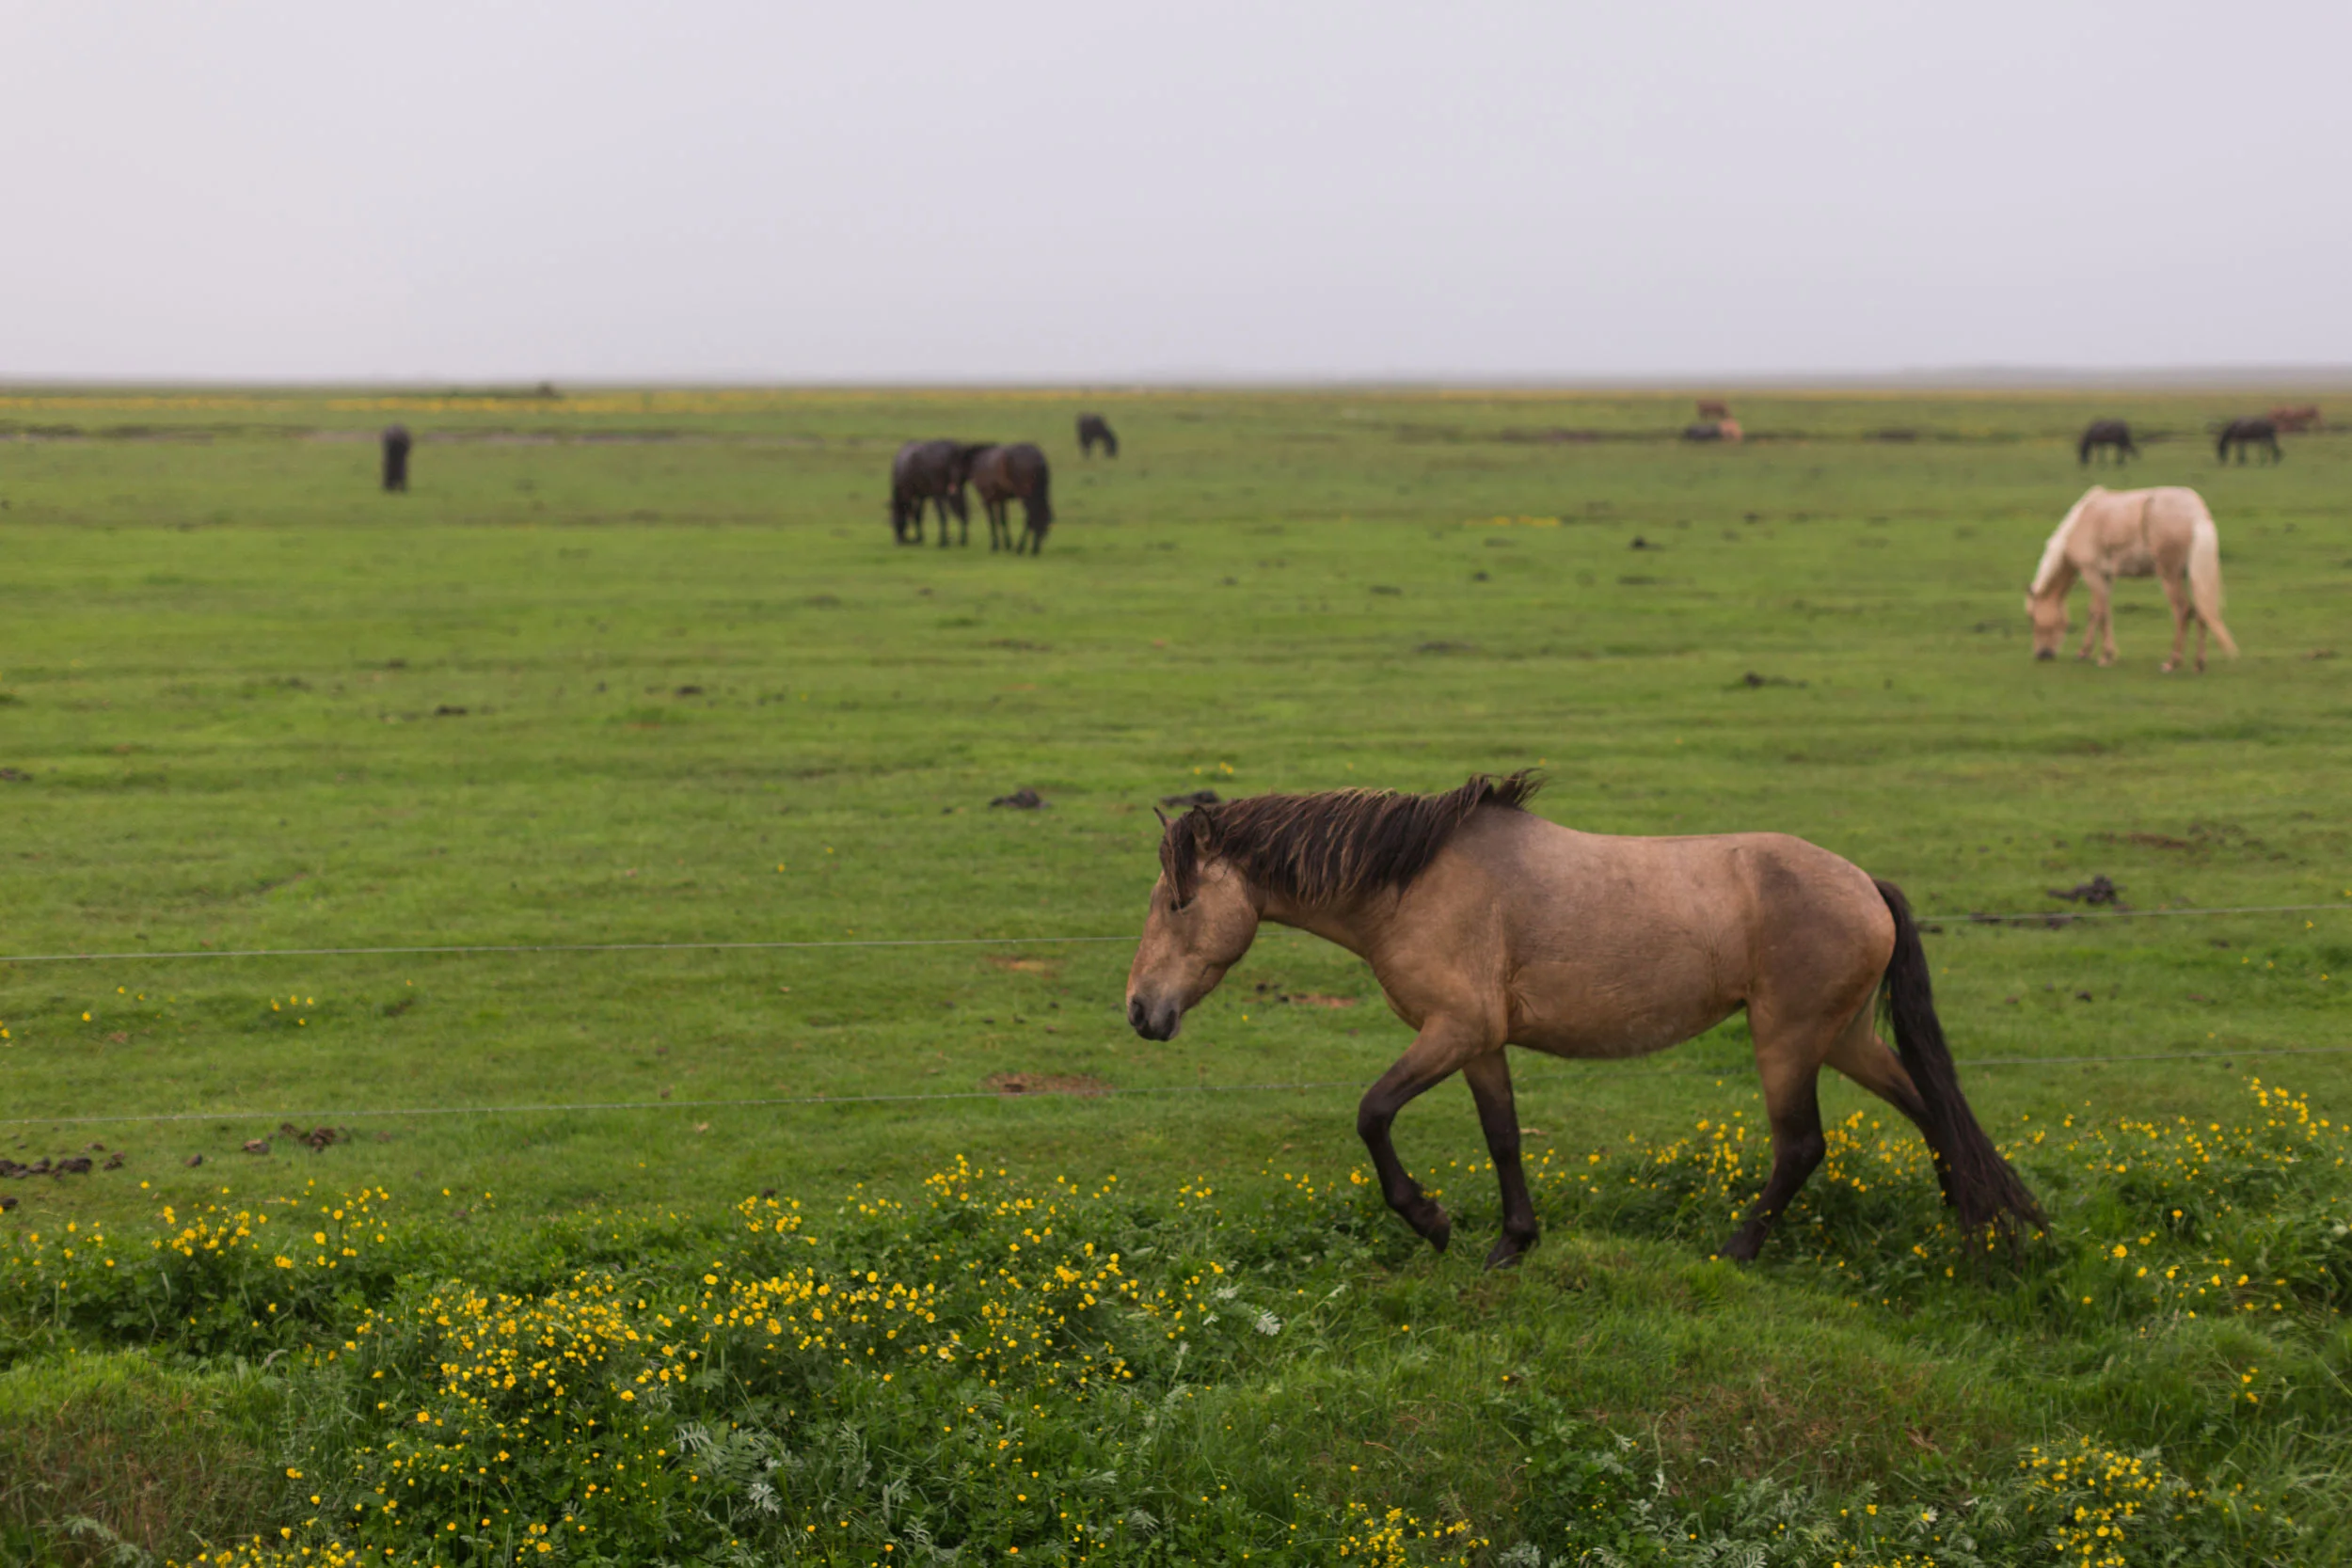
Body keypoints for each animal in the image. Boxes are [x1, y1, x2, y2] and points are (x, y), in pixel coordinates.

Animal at [1129, 780, 2051, 1269]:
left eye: (1177, 901)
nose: (1141, 1010)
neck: (1414, 882)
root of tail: (1866, 884)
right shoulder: (1481, 1043)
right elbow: (1504, 1136)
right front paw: (1512, 1242)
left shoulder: (1451, 1030)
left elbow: (1372, 1112)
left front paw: (1431, 1220)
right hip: (1846, 1036)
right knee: (1930, 1108)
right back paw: (1971, 1226)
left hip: (1788, 1041)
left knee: (1802, 1147)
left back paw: (1737, 1248)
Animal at [2023, 482, 2239, 672]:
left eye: (2033, 619)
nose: (2042, 655)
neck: (2080, 521)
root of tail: (2196, 512)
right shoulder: (2106, 577)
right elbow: (2096, 612)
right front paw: (2085, 652)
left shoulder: (2092, 573)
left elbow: (2101, 613)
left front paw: (2106, 657)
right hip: (2193, 577)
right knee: (2203, 612)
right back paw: (2199, 664)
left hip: (2170, 576)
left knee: (2183, 611)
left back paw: (2172, 663)